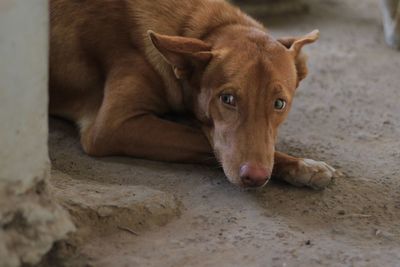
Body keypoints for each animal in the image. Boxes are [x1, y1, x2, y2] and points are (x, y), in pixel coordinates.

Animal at [50, 0, 338, 189]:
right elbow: (201, 138)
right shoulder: (111, 126)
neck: (202, 28)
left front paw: (303, 166)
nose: (255, 177)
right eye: (228, 99)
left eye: (279, 104)